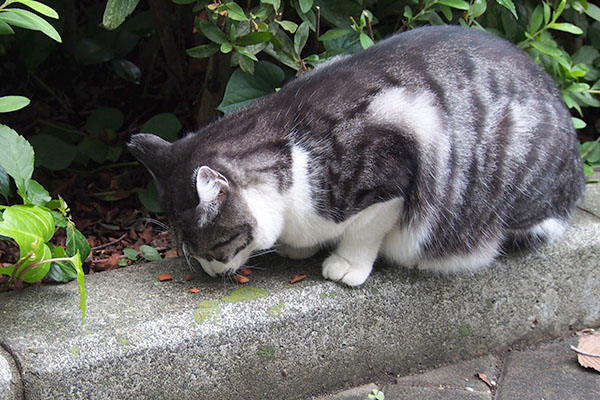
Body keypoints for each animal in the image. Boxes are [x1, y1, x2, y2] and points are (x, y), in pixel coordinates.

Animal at [129, 25, 584, 286]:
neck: (296, 151)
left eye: (213, 248)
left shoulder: (393, 173)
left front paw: (346, 265)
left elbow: (365, 232)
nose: (209, 272)